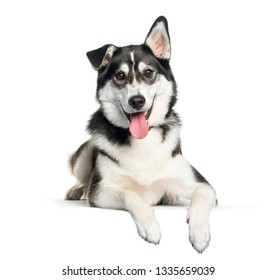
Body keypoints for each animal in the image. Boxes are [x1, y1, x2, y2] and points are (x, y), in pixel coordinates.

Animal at [66, 15, 217, 254]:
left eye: (148, 73)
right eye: (120, 75)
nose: (137, 101)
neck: (142, 142)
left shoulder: (201, 186)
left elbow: (202, 195)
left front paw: (200, 233)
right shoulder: (100, 191)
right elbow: (131, 194)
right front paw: (150, 225)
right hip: (86, 152)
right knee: (83, 179)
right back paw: (76, 190)